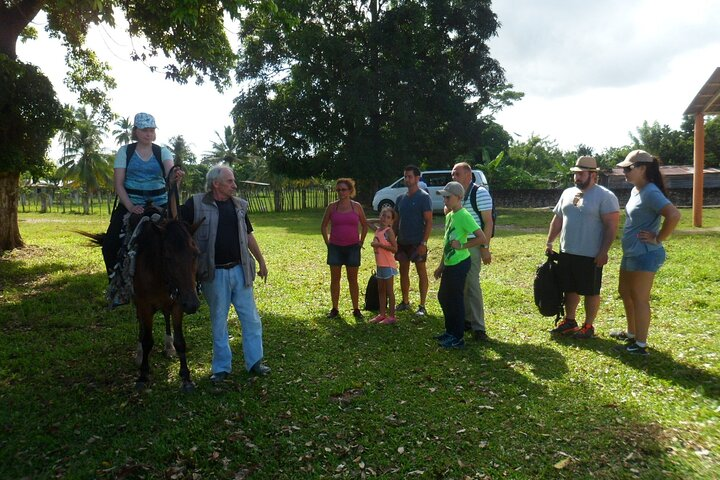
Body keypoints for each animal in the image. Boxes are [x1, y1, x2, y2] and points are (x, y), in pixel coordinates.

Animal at [78, 208, 201, 392]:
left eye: (195, 254)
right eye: (167, 256)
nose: (192, 304)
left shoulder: (177, 305)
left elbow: (180, 341)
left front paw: (186, 377)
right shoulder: (145, 305)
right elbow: (147, 340)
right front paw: (143, 375)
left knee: (165, 317)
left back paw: (168, 346)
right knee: (141, 325)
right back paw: (139, 353)